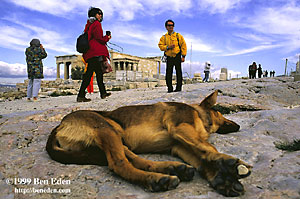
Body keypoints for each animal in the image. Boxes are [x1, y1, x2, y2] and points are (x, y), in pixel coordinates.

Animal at [47, 91, 252, 197]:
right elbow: (208, 148)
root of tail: (60, 125)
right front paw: (228, 163)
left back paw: (173, 169)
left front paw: (221, 179)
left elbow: (202, 157)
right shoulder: (180, 129)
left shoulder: (179, 145)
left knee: (134, 159)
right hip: (106, 129)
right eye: (219, 111)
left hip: (116, 136)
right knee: (119, 164)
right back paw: (156, 180)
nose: (238, 125)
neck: (199, 114)